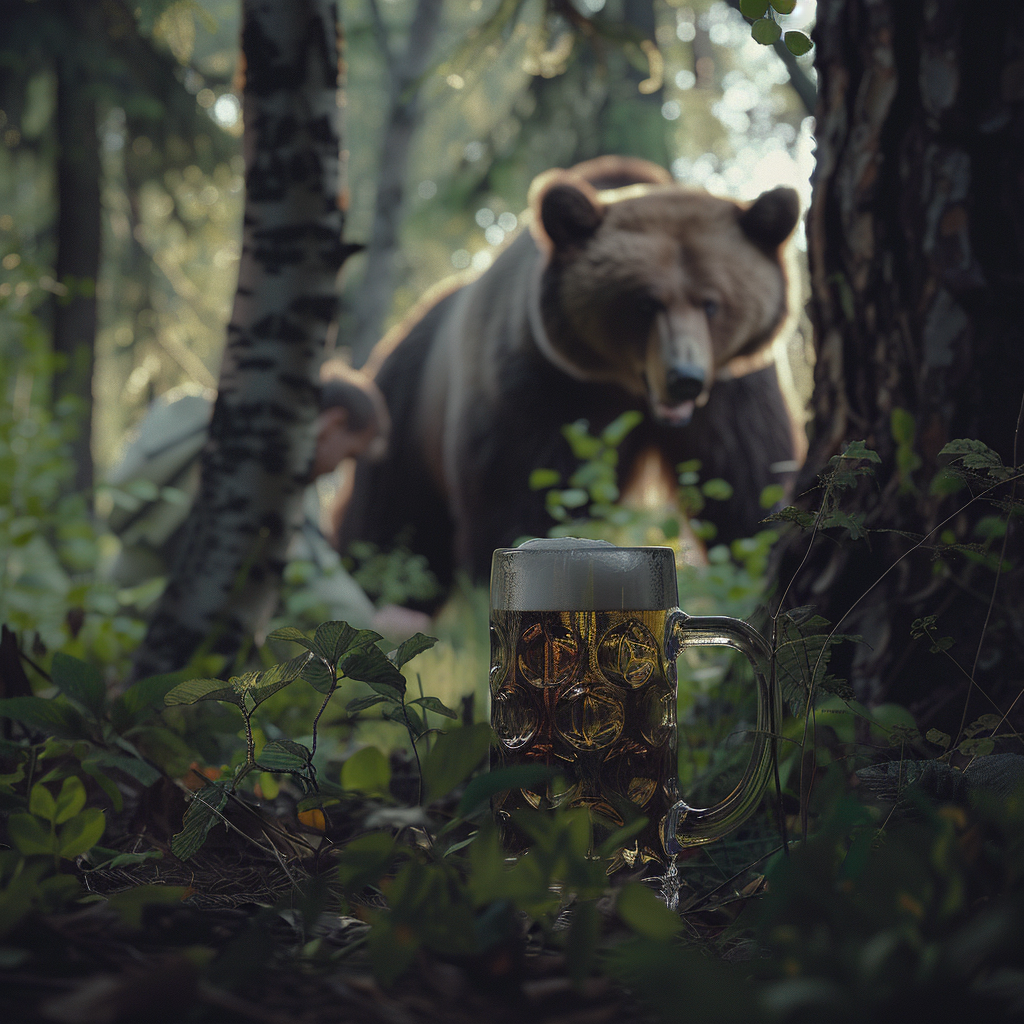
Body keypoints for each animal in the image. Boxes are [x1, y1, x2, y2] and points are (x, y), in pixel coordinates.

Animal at [339, 154, 802, 598]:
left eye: (711, 303)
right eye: (644, 302)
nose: (684, 377)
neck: (622, 386)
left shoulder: (732, 389)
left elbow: (746, 485)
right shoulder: (541, 388)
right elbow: (518, 497)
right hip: (404, 413)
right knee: (391, 531)